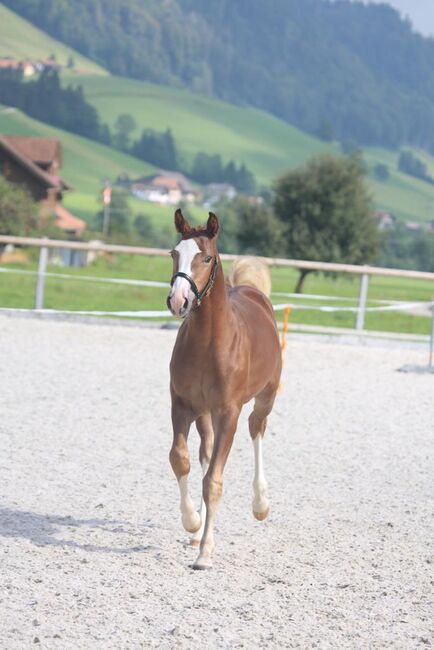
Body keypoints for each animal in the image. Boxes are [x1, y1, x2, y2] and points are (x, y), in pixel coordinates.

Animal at [166, 209, 282, 568]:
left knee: (257, 429)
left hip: (265, 397)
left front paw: (205, 552)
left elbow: (214, 480)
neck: (208, 342)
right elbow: (181, 459)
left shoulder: (229, 411)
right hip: (205, 413)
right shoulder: (182, 404)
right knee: (205, 452)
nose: (178, 301)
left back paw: (260, 504)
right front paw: (193, 523)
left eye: (206, 257)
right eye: (174, 253)